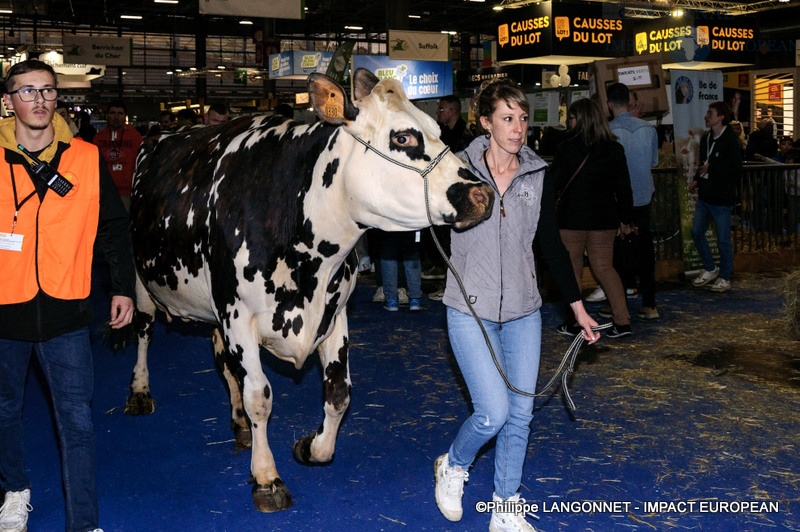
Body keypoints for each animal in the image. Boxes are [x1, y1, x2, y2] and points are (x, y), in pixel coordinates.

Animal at [127, 68, 490, 512]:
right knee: (144, 330)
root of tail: (162, 133)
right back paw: (140, 391)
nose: (482, 194)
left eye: (438, 130)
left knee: (223, 364)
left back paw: (237, 424)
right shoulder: (238, 315)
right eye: (404, 138)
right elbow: (260, 396)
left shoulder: (334, 313)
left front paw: (311, 447)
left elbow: (338, 393)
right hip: (142, 276)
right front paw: (266, 477)